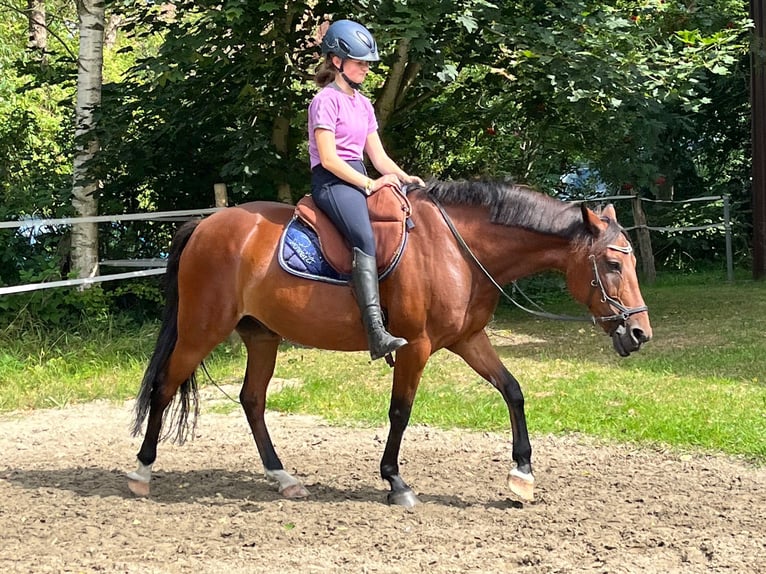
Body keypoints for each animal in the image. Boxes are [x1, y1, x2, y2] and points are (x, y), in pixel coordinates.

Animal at [127, 179, 652, 507]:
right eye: (612, 264)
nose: (639, 332)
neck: (458, 250)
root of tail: (205, 224)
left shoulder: (468, 339)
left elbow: (513, 391)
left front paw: (521, 475)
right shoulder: (414, 347)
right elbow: (400, 411)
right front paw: (396, 482)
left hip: (261, 336)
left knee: (252, 400)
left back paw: (283, 478)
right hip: (201, 330)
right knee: (164, 387)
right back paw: (142, 472)